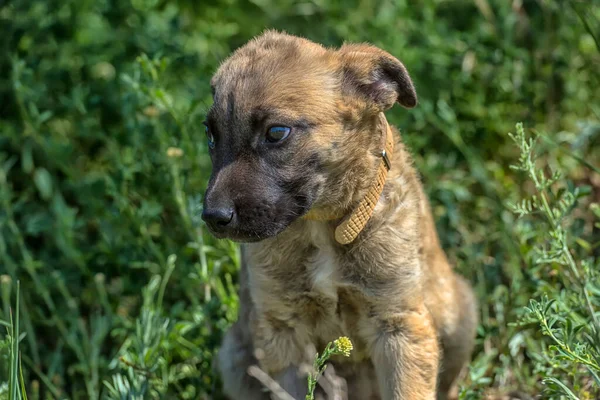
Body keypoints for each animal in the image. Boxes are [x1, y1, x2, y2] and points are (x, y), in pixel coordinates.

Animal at [203, 32, 478, 400]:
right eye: (210, 134)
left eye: (276, 133)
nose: (212, 217)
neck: (321, 226)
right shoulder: (281, 329)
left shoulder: (398, 324)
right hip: (233, 355)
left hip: (458, 314)